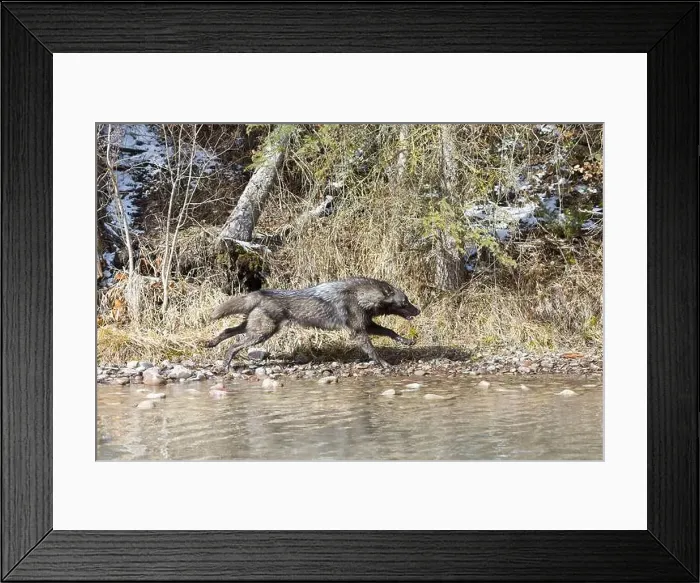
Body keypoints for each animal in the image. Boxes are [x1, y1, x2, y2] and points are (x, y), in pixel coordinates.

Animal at [204, 277, 420, 369]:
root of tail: (260, 293)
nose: (418, 310)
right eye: (405, 302)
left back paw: (211, 343)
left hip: (254, 329)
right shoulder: (359, 331)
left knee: (227, 330)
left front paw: (406, 341)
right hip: (261, 334)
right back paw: (226, 365)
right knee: (233, 345)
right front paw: (384, 364)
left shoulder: (367, 325)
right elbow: (373, 351)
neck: (359, 296)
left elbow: (391, 331)